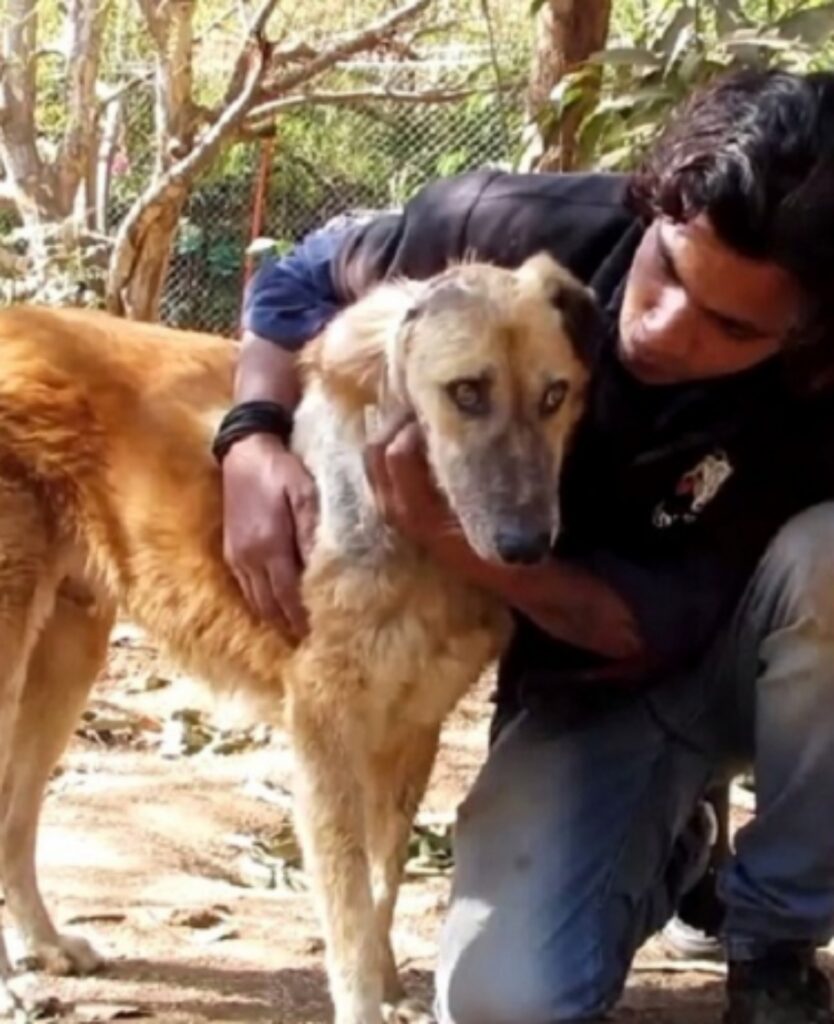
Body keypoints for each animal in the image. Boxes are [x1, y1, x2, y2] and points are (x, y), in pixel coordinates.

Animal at [0, 253, 594, 1024]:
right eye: (466, 392)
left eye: (555, 395)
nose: (527, 548)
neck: (417, 541)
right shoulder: (324, 730)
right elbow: (348, 915)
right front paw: (366, 1002)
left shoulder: (412, 728)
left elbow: (382, 888)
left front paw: (389, 985)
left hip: (69, 657)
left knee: (14, 816)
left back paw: (40, 944)